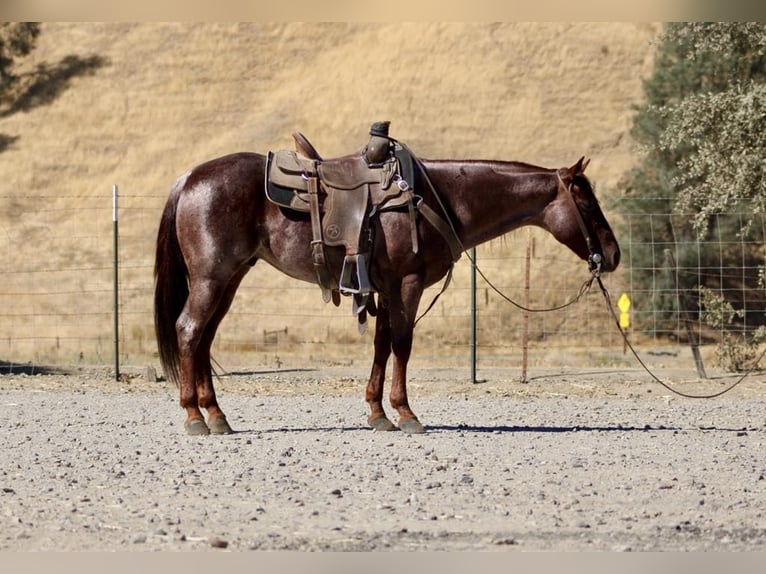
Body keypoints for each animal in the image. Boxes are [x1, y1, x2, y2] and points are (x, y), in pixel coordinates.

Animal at [154, 140, 620, 436]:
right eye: (586, 202)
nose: (613, 254)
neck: (436, 197)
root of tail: (189, 178)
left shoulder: (384, 288)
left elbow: (381, 344)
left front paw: (378, 414)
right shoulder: (408, 284)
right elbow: (402, 343)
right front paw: (407, 413)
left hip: (229, 279)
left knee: (204, 339)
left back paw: (217, 416)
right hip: (212, 278)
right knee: (188, 331)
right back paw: (194, 417)